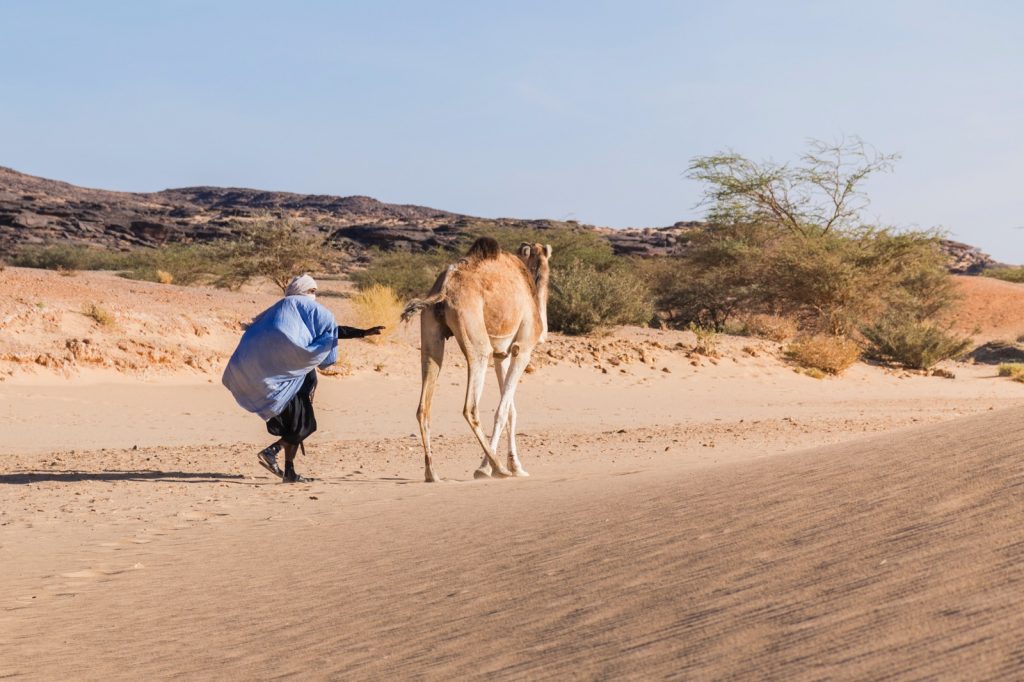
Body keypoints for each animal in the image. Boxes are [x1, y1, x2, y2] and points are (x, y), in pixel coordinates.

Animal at [399, 236, 552, 481]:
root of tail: (444, 287)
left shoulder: (502, 353)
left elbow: (510, 410)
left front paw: (516, 466)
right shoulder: (523, 348)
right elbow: (502, 410)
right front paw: (487, 468)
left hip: (431, 335)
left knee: (423, 406)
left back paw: (432, 473)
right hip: (477, 340)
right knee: (470, 407)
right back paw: (497, 467)